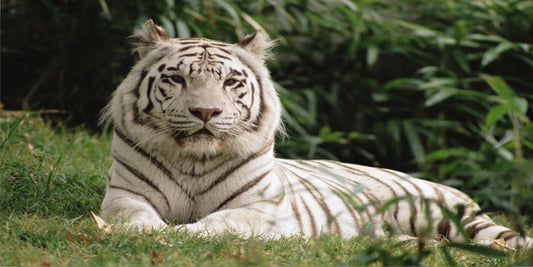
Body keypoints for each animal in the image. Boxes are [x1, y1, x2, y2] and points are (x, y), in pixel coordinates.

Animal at [98, 19, 528, 251]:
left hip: (443, 212)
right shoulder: (125, 194)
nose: (206, 112)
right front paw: (152, 232)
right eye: (176, 79)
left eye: (231, 82)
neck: (194, 159)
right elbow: (133, 217)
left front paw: (184, 234)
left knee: (501, 237)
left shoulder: (263, 209)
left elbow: (221, 222)